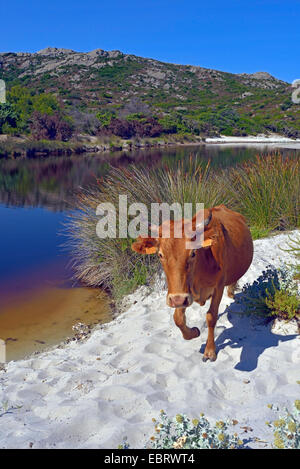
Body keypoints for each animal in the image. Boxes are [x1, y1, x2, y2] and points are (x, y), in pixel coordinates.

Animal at [131, 203, 253, 360]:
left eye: (193, 253)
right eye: (160, 255)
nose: (177, 300)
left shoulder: (217, 287)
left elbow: (211, 316)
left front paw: (210, 350)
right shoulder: (181, 292)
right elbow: (178, 318)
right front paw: (194, 332)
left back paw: (232, 292)